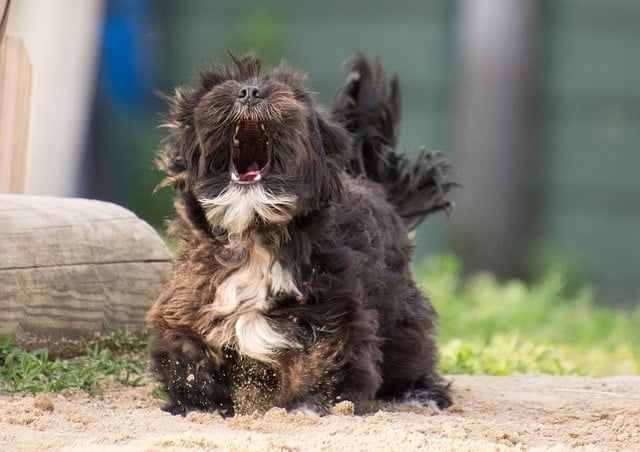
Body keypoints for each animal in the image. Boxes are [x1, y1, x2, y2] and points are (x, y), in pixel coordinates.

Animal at [146, 53, 456, 416]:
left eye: (292, 93)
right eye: (217, 85)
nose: (249, 91)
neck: (256, 236)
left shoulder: (333, 311)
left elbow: (323, 361)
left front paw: (305, 407)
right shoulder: (191, 300)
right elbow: (188, 356)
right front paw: (197, 405)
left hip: (399, 312)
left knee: (410, 350)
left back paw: (419, 393)